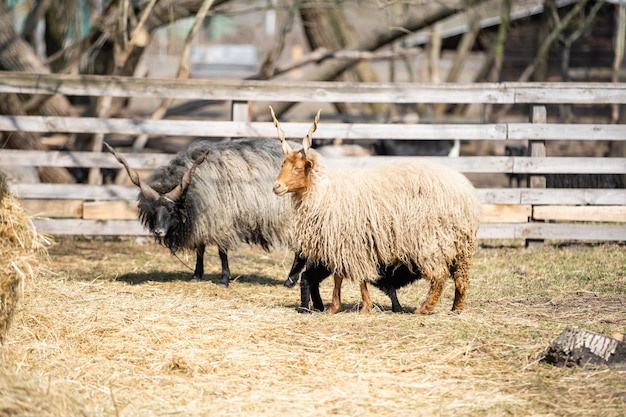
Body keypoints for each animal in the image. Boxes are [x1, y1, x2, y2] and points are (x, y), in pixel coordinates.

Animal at [266, 105, 478, 314]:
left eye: (298, 168)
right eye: (283, 164)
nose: (276, 187)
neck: (324, 193)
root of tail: (465, 191)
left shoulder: (349, 243)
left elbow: (350, 277)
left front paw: (352, 307)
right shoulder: (349, 245)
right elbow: (348, 276)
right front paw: (350, 306)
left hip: (430, 240)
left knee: (440, 275)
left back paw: (425, 308)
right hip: (460, 244)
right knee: (461, 277)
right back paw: (456, 308)